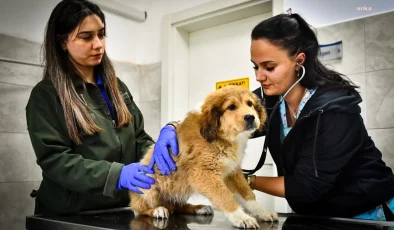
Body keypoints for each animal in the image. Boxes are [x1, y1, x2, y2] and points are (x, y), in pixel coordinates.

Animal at [129, 86, 278, 228]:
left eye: (250, 104)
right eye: (231, 107)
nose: (251, 117)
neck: (221, 137)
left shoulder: (232, 171)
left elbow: (247, 194)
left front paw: (262, 212)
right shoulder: (203, 174)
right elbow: (226, 196)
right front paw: (242, 218)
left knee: (177, 206)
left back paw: (198, 208)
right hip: (148, 185)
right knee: (140, 208)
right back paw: (157, 210)